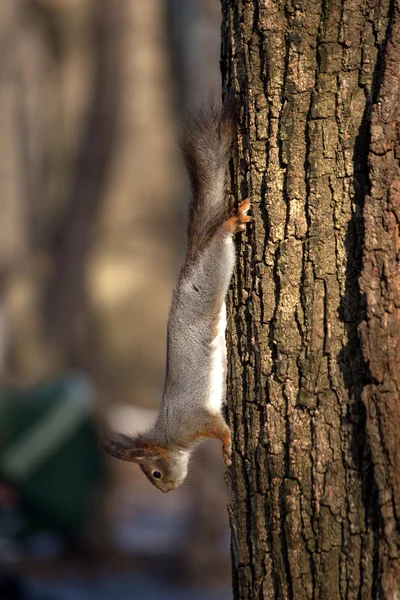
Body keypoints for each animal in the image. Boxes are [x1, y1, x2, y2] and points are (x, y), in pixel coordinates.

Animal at [101, 98, 250, 492]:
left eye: (154, 473)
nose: (168, 490)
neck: (170, 435)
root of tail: (186, 274)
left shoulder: (197, 420)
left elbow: (220, 430)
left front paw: (226, 448)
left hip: (214, 272)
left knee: (220, 241)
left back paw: (232, 222)